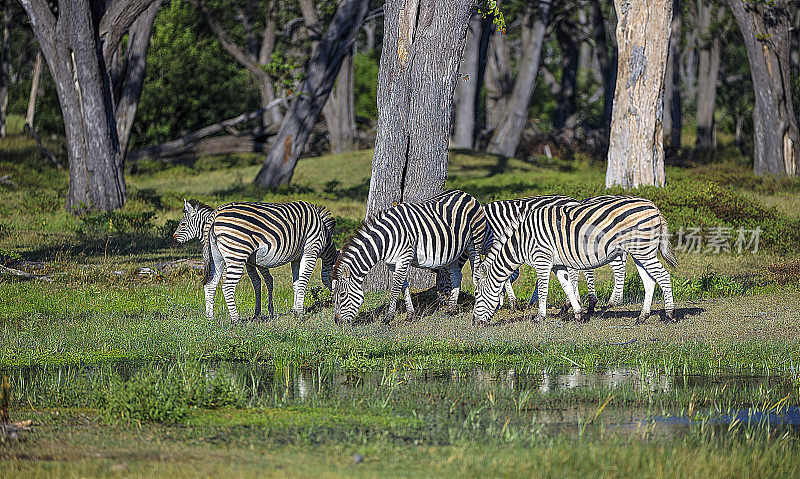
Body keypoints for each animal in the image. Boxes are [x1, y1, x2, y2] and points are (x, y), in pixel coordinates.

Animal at [172, 199, 338, 322]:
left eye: (183, 224)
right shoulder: (310, 250)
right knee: (227, 287)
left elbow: (294, 283)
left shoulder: (294, 258)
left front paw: (293, 311)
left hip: (217, 259)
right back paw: (236, 320)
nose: (173, 240)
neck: (324, 237)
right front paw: (299, 314)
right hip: (237, 254)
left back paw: (210, 318)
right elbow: (300, 282)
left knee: (210, 285)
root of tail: (216, 214)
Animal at [332, 189, 488, 324]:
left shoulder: (404, 257)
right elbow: (403, 287)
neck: (387, 239)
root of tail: (466, 194)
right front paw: (411, 315)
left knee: (476, 274)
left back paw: (476, 310)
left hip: (474, 243)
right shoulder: (392, 263)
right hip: (453, 252)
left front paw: (388, 317)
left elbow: (395, 287)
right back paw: (451, 309)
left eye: (342, 295)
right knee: (456, 276)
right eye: (333, 296)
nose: (338, 323)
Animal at [472, 196, 680, 326]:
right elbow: (567, 287)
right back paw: (642, 317)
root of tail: (654, 206)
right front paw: (578, 314)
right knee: (649, 281)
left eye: (478, 296)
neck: (523, 241)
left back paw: (670, 314)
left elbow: (544, 290)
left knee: (663, 276)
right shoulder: (557, 265)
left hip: (644, 252)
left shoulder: (542, 259)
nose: (473, 323)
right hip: (640, 253)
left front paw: (540, 317)